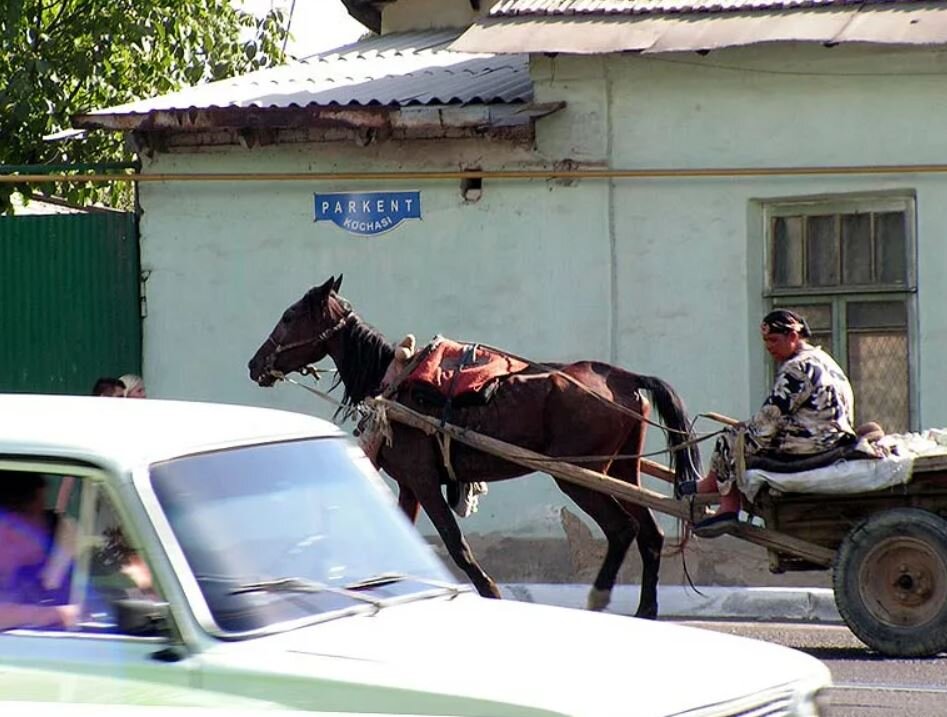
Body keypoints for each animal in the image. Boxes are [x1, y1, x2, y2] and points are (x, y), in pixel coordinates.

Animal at [248, 276, 700, 620]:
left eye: (289, 316)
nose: (255, 364)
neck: (393, 382)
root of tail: (623, 377)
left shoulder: (424, 480)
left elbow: (455, 542)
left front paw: (491, 592)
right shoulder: (410, 485)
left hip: (579, 477)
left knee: (622, 529)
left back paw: (599, 598)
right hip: (622, 468)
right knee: (651, 533)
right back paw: (645, 610)